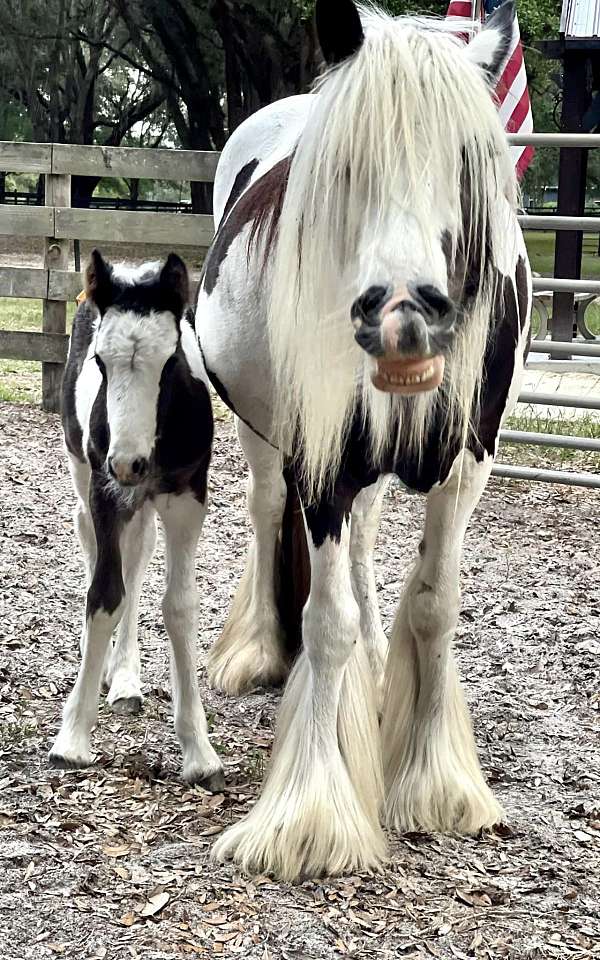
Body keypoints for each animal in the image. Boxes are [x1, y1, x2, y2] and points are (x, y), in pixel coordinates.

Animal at [48, 249, 223, 788]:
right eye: (100, 362)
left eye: (170, 361)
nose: (128, 463)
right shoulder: (107, 493)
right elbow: (104, 595)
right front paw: (72, 739)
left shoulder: (187, 497)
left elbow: (179, 606)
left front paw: (199, 750)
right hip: (86, 473)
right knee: (91, 539)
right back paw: (110, 670)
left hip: (140, 500)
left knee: (138, 553)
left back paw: (125, 679)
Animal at [197, 0, 528, 880]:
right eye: (347, 166)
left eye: (467, 162)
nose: (403, 313)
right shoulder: (324, 472)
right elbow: (326, 621)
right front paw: (310, 815)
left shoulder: (466, 470)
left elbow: (435, 607)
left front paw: (435, 786)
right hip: (268, 445)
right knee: (269, 518)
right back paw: (265, 652)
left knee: (368, 552)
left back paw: (376, 670)